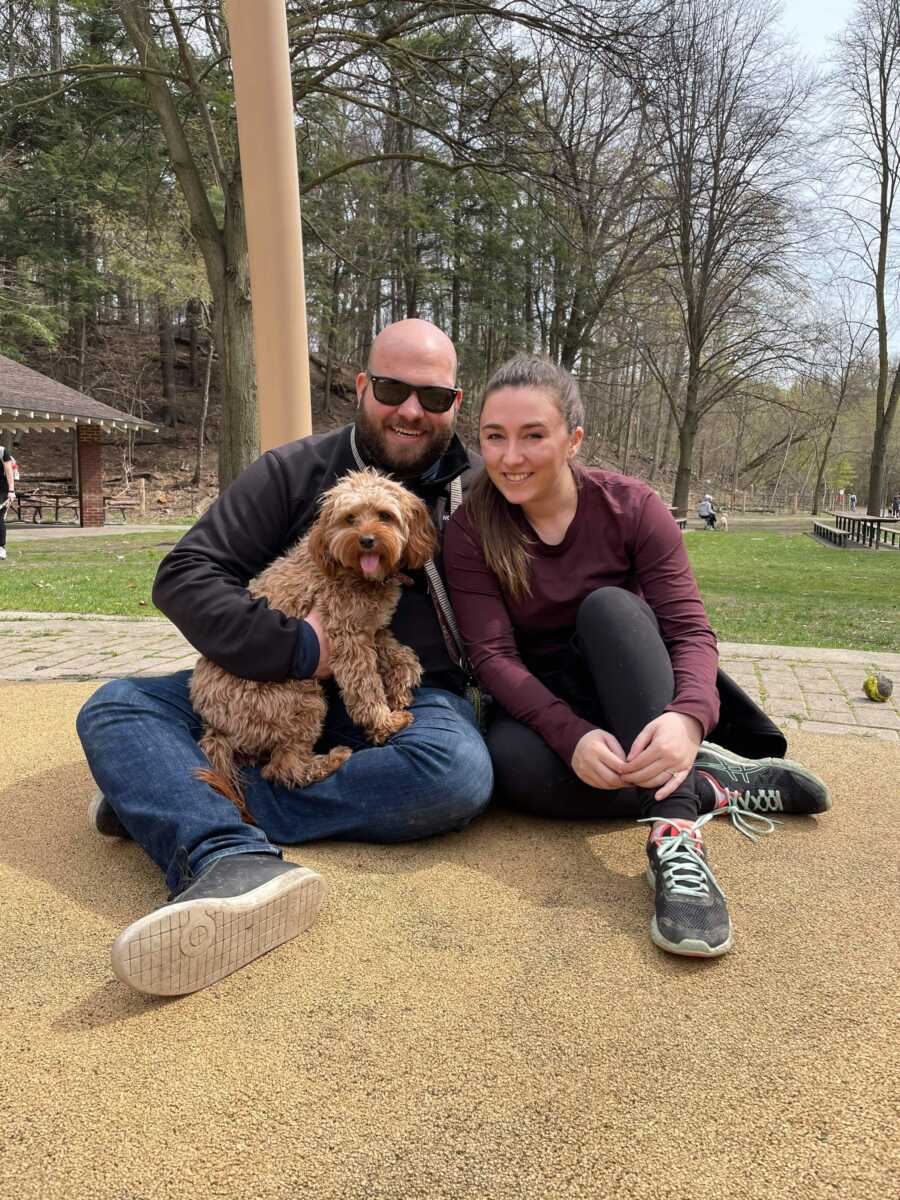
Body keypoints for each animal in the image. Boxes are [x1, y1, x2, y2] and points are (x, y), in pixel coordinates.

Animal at [192, 463, 439, 820]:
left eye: (384, 515)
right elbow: (365, 687)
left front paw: (400, 689)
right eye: (350, 518)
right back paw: (331, 760)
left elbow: (403, 656)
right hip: (300, 700)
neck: (355, 573)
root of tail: (216, 725)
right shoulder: (346, 636)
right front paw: (384, 722)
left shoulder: (373, 629)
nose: (367, 540)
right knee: (282, 769)